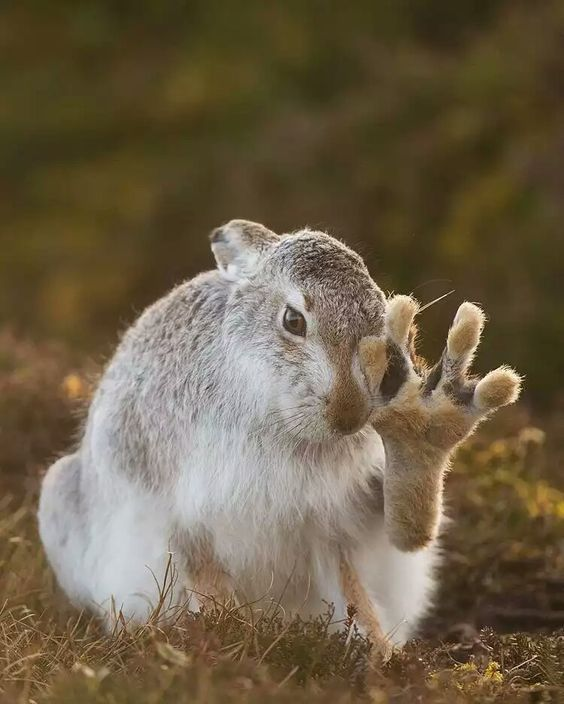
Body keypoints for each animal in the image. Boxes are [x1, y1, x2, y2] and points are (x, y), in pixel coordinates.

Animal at [38, 220, 521, 658]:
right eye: (293, 320)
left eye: (382, 324)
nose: (349, 414)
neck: (279, 418)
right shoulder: (181, 513)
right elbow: (205, 581)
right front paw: (225, 635)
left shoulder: (337, 524)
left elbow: (395, 549)